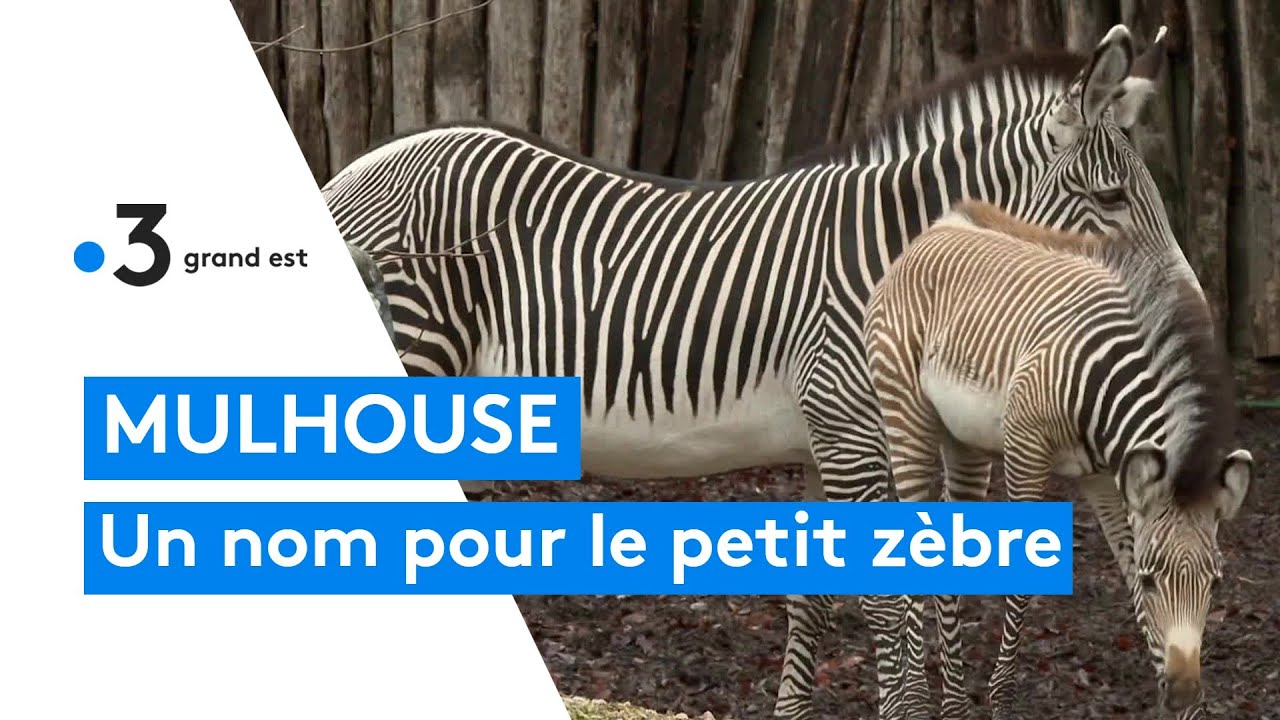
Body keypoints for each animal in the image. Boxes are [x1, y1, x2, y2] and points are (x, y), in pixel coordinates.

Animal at [322, 23, 1183, 720]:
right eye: (1111, 198)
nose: (1186, 308)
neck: (899, 260)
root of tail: (354, 167)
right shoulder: (851, 436)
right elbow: (884, 602)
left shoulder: (828, 447)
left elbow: (815, 604)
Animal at [864, 200, 1254, 719]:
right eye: (1154, 580)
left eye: (1215, 584)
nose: (1187, 690)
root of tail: (939, 226)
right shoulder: (1025, 450)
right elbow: (1023, 586)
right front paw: (1002, 698)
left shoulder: (1108, 480)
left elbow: (1132, 588)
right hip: (906, 417)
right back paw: (909, 703)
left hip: (964, 444)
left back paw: (953, 705)